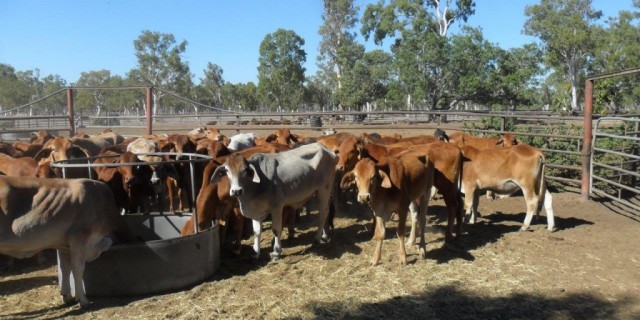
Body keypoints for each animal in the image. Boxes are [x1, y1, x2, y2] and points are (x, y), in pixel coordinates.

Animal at [0, 175, 132, 308]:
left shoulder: (63, 244)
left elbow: (65, 268)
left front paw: (68, 296)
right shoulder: (79, 236)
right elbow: (78, 268)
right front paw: (83, 300)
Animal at [211, 142, 340, 260]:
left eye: (245, 170)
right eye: (227, 171)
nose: (236, 191)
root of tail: (328, 151)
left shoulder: (276, 206)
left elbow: (276, 229)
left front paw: (276, 252)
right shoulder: (256, 211)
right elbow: (256, 231)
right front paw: (255, 252)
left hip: (323, 189)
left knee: (323, 212)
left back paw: (317, 238)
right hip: (320, 191)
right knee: (327, 211)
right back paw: (325, 235)